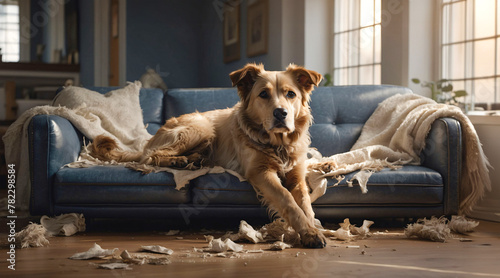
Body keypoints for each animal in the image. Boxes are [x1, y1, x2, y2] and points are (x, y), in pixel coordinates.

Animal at [93, 63, 328, 248]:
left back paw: (194, 160)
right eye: (263, 94)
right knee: (149, 157)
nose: (281, 113)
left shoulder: (297, 175)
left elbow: (305, 202)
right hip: (201, 128)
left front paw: (313, 226)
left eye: (291, 94)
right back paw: (178, 160)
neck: (278, 143)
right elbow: (287, 200)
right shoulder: (260, 172)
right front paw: (308, 232)